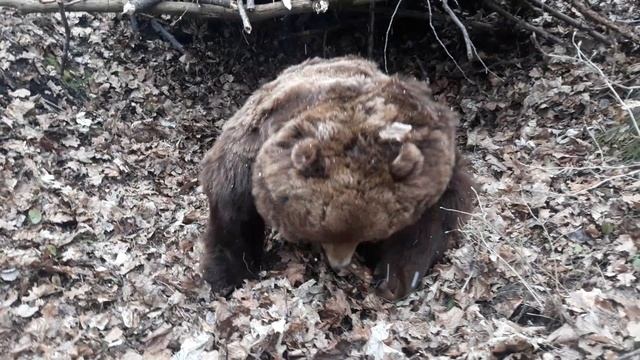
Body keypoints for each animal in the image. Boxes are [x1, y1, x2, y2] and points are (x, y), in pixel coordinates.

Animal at [200, 54, 476, 300]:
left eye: (369, 235)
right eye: (322, 234)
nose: (339, 264)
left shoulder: (435, 159)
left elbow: (435, 219)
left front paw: (392, 279)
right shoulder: (247, 154)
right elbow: (233, 216)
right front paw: (226, 278)